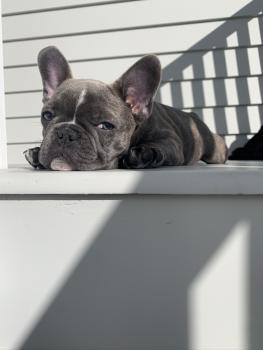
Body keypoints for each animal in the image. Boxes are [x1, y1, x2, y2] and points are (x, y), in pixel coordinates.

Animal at [23, 46, 228, 171]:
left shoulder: (171, 140)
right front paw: (35, 152)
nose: (65, 133)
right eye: (47, 115)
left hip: (214, 151)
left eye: (105, 126)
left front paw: (142, 155)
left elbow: (161, 148)